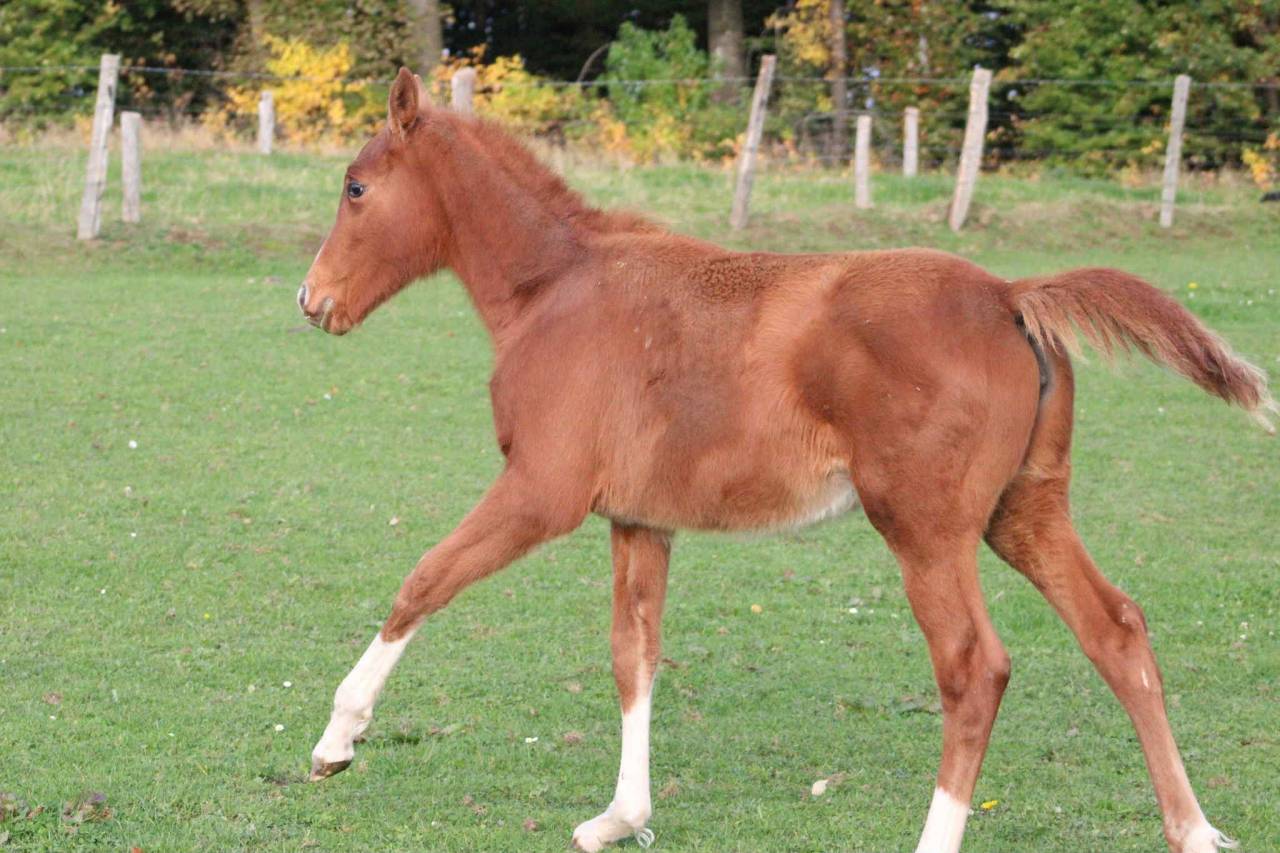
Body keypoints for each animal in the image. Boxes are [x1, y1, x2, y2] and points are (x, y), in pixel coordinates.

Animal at [296, 68, 1273, 853]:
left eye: (356, 186)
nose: (312, 300)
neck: (557, 289)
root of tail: (1010, 294)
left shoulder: (543, 492)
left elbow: (424, 580)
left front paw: (337, 739)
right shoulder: (640, 517)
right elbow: (634, 654)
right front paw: (621, 816)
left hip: (925, 527)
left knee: (973, 666)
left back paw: (941, 836)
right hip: (1024, 510)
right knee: (1116, 630)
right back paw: (1192, 827)